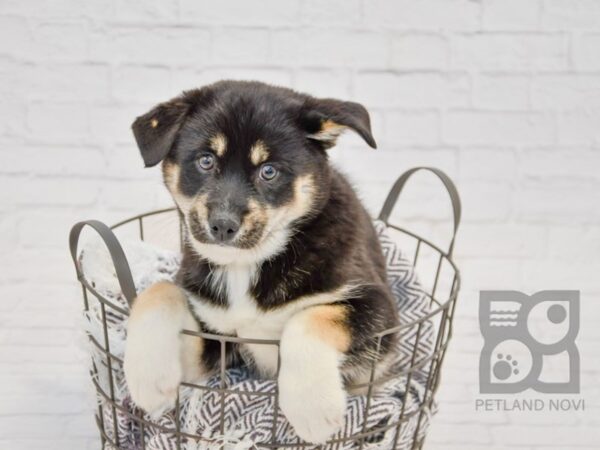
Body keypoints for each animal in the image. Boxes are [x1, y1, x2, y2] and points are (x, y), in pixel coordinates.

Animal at [123, 81, 398, 442]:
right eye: (206, 161)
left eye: (269, 171)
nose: (222, 225)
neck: (247, 265)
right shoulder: (219, 343)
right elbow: (158, 290)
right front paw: (149, 377)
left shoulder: (379, 310)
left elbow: (311, 317)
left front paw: (313, 407)